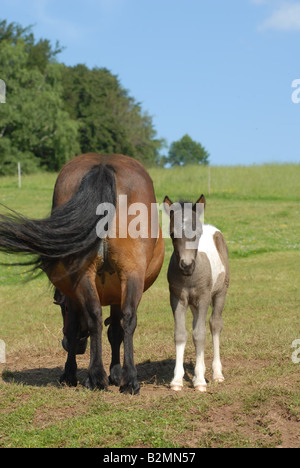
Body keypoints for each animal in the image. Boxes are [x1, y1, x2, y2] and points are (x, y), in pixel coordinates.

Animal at [0, 154, 164, 394]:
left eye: (62, 309)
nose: (74, 347)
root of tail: (103, 165)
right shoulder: (117, 292)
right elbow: (116, 329)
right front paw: (116, 373)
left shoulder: (73, 299)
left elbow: (77, 327)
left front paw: (71, 373)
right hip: (130, 272)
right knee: (123, 317)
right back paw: (126, 380)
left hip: (85, 276)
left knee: (96, 317)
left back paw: (97, 377)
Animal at [164, 194, 230, 392]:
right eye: (172, 234)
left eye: (198, 233)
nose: (186, 266)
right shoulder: (177, 298)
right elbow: (181, 334)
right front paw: (177, 381)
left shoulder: (203, 298)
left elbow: (200, 334)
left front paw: (200, 381)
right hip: (193, 304)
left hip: (220, 293)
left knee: (214, 325)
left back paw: (217, 374)